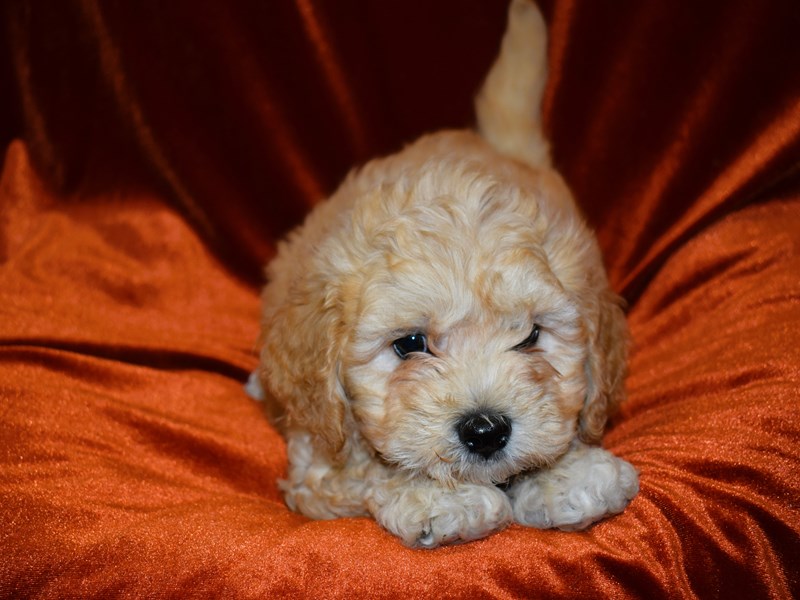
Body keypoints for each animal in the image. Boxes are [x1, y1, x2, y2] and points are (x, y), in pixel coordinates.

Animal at [253, 0, 640, 548]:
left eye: (531, 336)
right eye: (410, 344)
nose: (486, 430)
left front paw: (568, 476)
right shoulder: (319, 464)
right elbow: (368, 469)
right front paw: (440, 499)